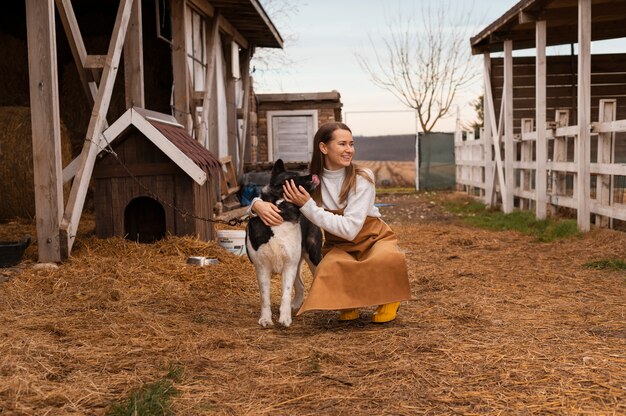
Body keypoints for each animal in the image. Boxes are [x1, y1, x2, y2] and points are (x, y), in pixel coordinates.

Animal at [245, 161, 322, 326]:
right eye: (295, 176)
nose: (312, 174)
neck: (281, 210)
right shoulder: (262, 267)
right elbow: (264, 296)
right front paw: (266, 318)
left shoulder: (289, 265)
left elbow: (285, 293)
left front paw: (285, 318)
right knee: (300, 285)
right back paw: (296, 305)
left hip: (313, 256)